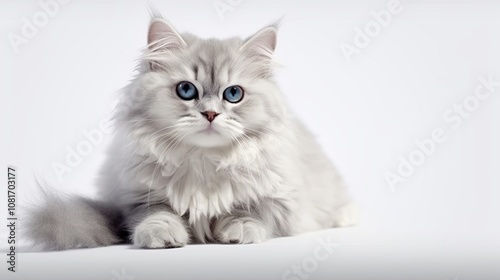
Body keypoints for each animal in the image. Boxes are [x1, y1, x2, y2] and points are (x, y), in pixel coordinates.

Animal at [26, 14, 356, 249]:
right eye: (186, 90)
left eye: (233, 94)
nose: (210, 113)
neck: (203, 160)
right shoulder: (135, 198)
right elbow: (155, 214)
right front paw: (162, 235)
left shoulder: (281, 200)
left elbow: (252, 212)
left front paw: (238, 230)